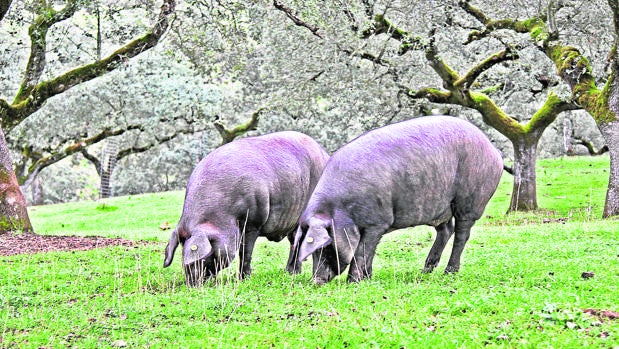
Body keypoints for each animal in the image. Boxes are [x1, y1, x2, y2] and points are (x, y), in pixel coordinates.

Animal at [163, 130, 330, 286]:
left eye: (202, 257)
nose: (191, 283)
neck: (222, 216)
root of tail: (325, 154)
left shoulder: (253, 222)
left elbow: (245, 252)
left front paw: (244, 278)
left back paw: (291, 272)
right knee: (295, 240)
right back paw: (291, 272)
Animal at [294, 115, 504, 284]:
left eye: (326, 245)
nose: (317, 281)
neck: (341, 209)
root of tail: (494, 151)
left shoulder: (376, 222)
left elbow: (362, 251)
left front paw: (354, 281)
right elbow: (368, 252)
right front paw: (368, 278)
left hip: (470, 200)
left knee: (462, 233)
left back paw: (448, 273)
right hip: (440, 207)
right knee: (446, 230)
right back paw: (425, 271)